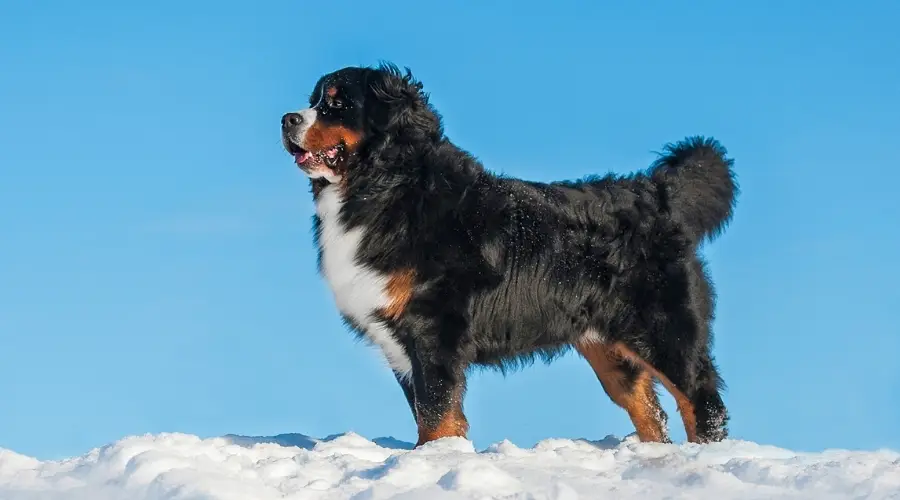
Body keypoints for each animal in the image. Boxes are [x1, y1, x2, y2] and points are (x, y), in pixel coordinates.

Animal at [280, 63, 740, 450]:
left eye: (338, 103)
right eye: (314, 100)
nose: (287, 119)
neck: (385, 186)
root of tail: (654, 193)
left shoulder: (433, 330)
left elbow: (435, 413)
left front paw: (434, 458)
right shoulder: (400, 341)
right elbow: (432, 413)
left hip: (666, 333)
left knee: (702, 402)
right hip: (610, 351)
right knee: (651, 413)